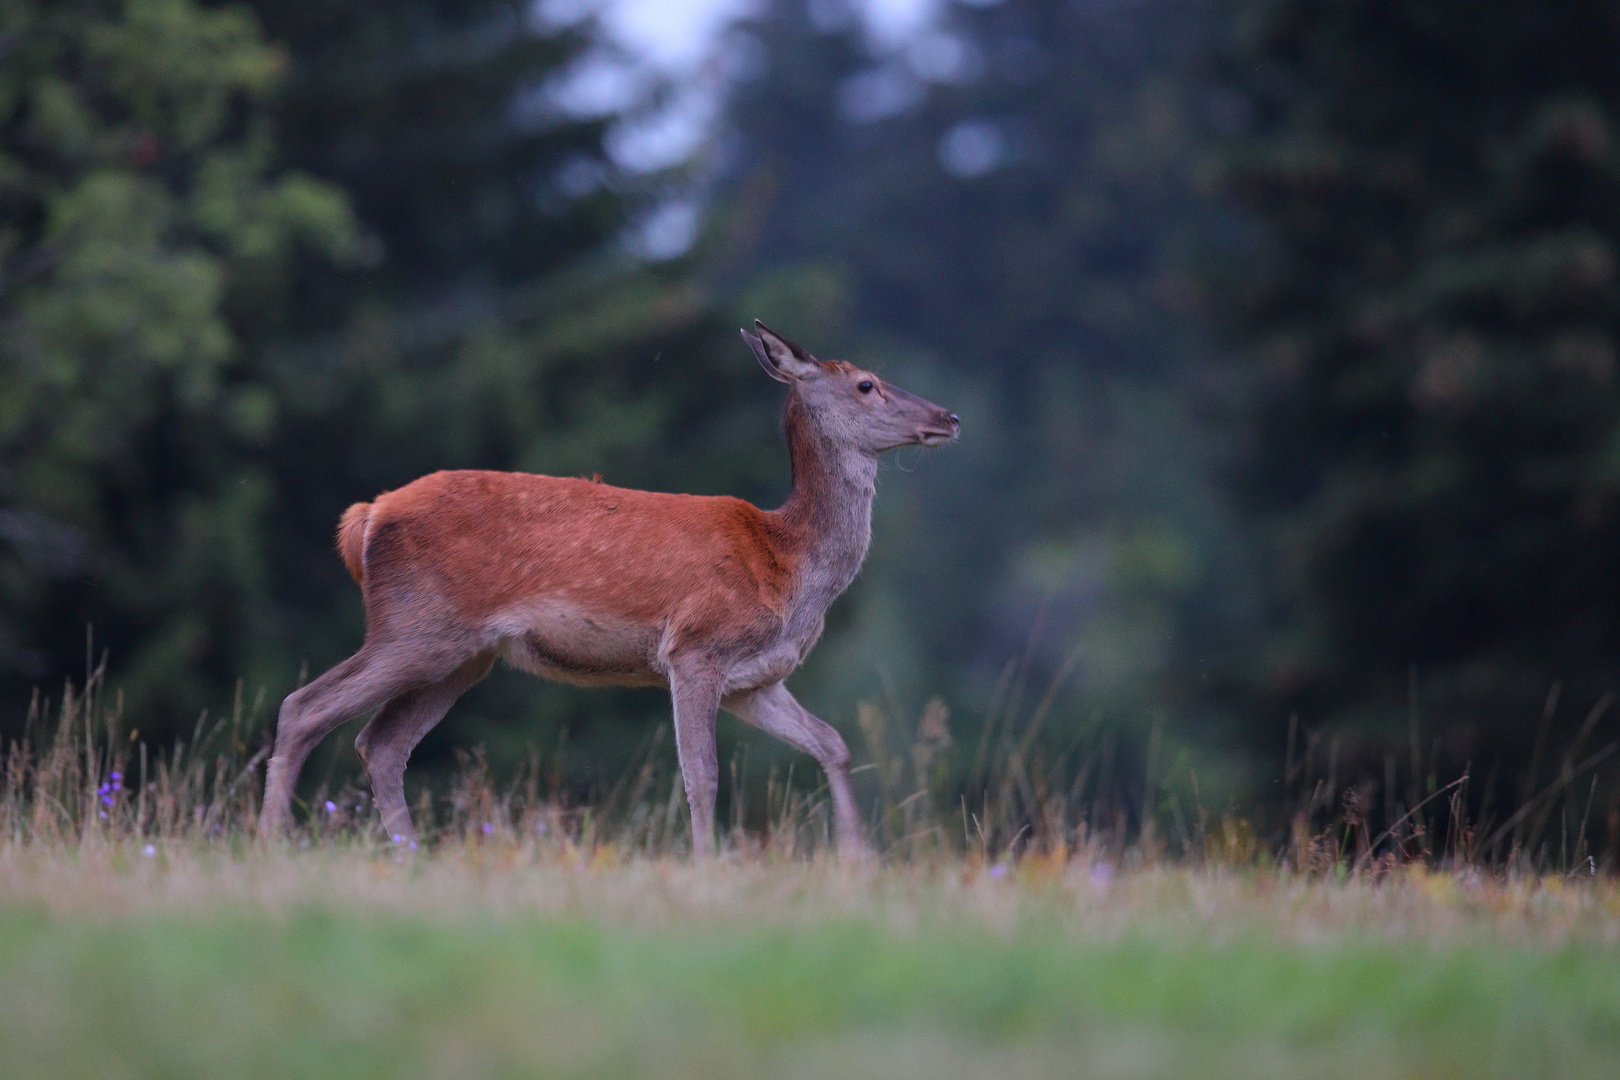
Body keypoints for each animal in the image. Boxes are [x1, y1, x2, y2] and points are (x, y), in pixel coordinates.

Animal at [257, 318, 952, 854]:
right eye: (866, 384)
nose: (948, 416)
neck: (789, 565)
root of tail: (365, 517)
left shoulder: (753, 679)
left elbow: (834, 744)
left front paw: (858, 860)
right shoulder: (696, 647)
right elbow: (702, 774)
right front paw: (708, 865)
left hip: (463, 655)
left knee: (380, 742)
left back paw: (408, 853)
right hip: (416, 626)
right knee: (304, 707)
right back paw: (271, 842)